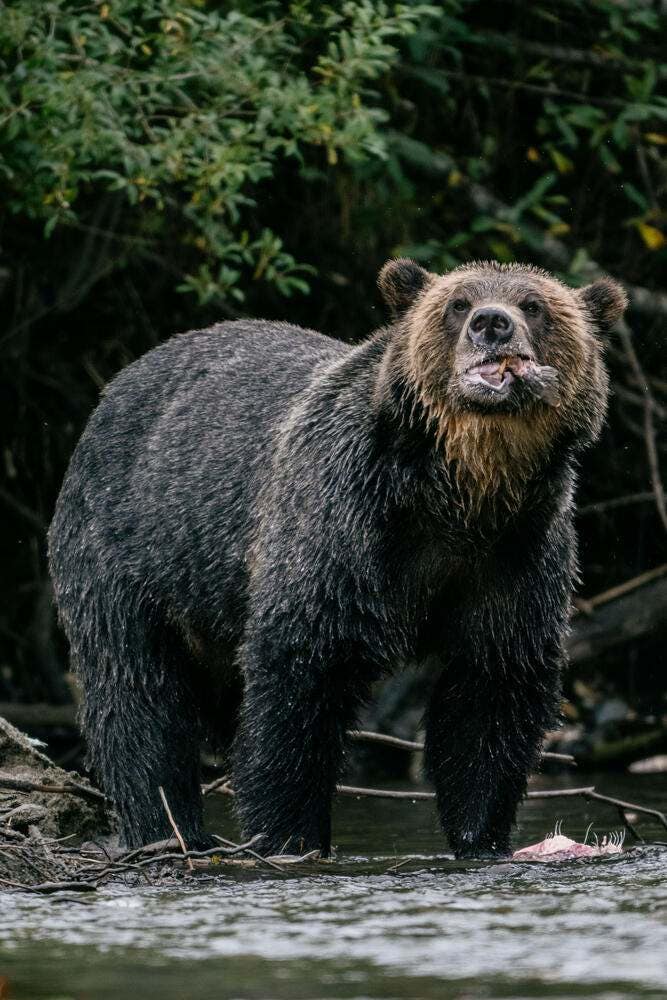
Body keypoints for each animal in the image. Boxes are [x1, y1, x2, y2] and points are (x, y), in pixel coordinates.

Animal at [47, 259, 627, 857]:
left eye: (534, 304)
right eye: (458, 303)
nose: (492, 323)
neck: (459, 490)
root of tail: (115, 387)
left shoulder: (515, 552)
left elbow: (492, 688)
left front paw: (479, 833)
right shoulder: (341, 521)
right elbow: (302, 674)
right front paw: (289, 831)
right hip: (126, 550)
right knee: (138, 695)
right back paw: (167, 827)